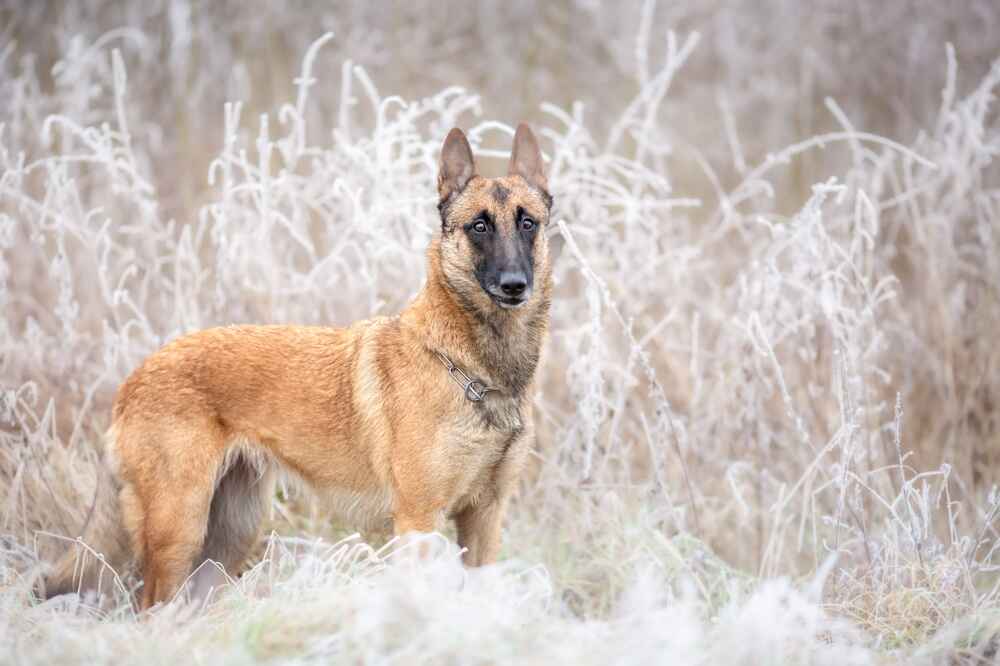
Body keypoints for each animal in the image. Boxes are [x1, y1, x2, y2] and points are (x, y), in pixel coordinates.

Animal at [45, 123, 556, 608]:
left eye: (528, 223)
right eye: (479, 227)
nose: (514, 285)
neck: (477, 371)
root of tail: (133, 379)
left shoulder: (485, 519)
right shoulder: (419, 520)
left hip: (228, 540)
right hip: (179, 531)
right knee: (152, 607)